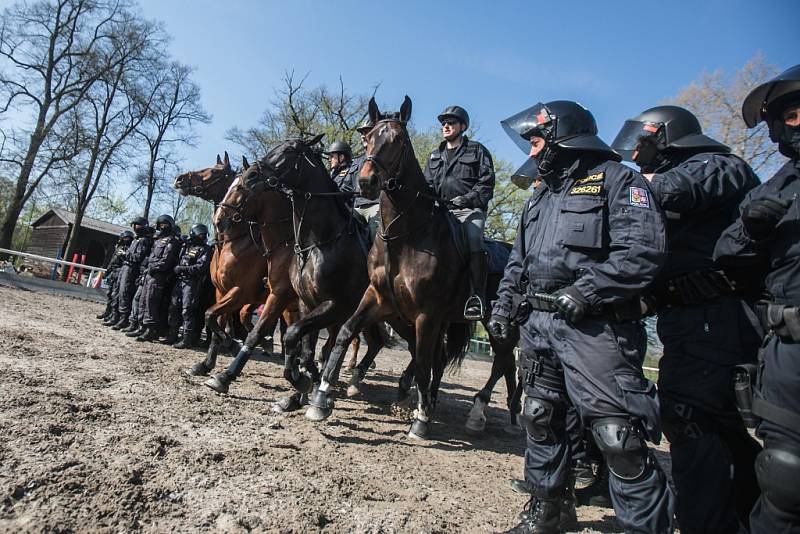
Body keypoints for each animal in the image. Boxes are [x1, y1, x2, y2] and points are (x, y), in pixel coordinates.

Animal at [304, 98, 520, 442]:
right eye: (368, 139)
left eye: (399, 141)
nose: (366, 182)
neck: (405, 237)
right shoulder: (378, 299)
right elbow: (346, 333)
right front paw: (322, 397)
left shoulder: (426, 315)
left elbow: (421, 362)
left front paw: (420, 421)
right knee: (488, 362)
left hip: (497, 325)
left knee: (500, 362)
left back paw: (478, 412)